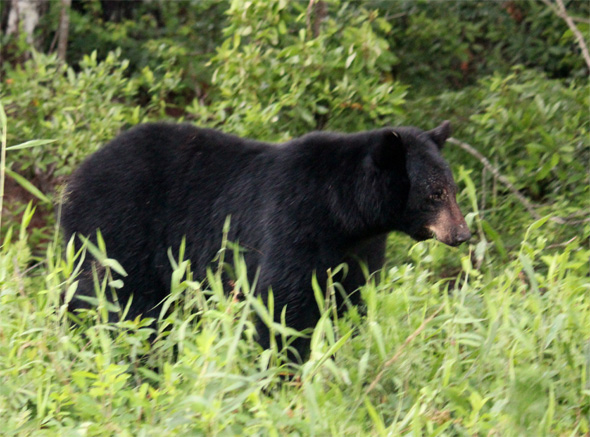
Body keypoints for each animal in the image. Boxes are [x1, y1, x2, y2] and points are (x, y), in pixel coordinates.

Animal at [62, 120, 472, 362]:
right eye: (434, 193)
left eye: (451, 187)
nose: (463, 234)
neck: (342, 211)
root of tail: (75, 177)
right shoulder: (292, 222)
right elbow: (283, 304)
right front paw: (285, 366)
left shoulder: (358, 249)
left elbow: (349, 298)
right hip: (116, 228)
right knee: (113, 297)